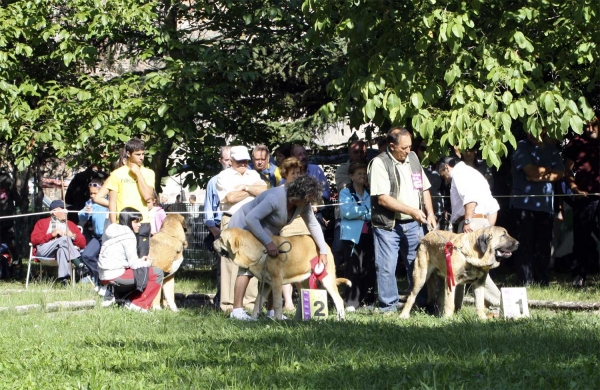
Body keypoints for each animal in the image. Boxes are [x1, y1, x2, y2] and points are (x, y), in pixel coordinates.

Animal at [213, 229, 350, 320]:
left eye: (220, 238)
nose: (213, 242)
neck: (260, 251)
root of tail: (324, 244)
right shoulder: (266, 284)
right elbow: (258, 302)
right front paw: (253, 319)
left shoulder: (276, 281)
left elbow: (278, 302)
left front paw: (277, 320)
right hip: (305, 281)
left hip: (327, 278)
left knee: (338, 299)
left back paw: (340, 319)